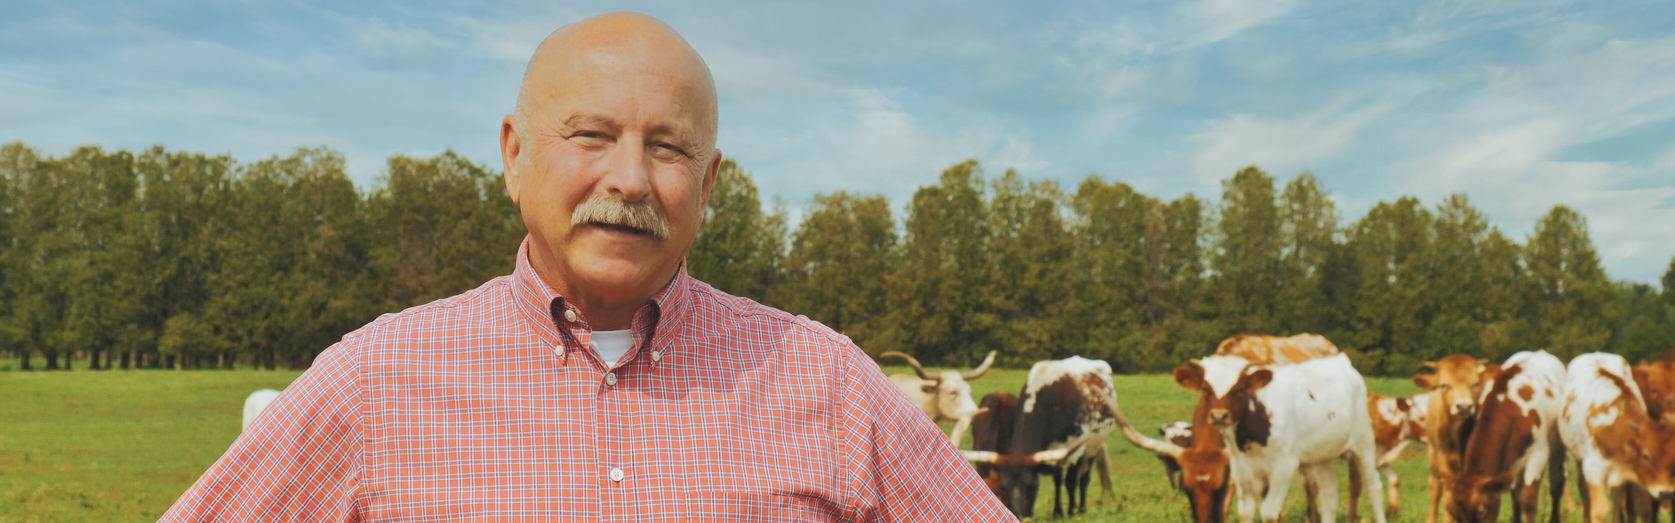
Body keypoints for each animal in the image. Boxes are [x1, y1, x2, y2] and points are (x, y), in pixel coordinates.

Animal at [1413, 355, 1507, 523]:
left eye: (1476, 384)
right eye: (1444, 384)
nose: (1464, 406)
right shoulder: (1443, 458)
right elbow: (1447, 495)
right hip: (1432, 453)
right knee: (1435, 487)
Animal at [1447, 348, 1561, 523]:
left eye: (1481, 512)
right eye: (1454, 515)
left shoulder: (1539, 454)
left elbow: (1528, 500)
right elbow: (1516, 497)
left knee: (1557, 486)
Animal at [1554, 348, 1675, 523]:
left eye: (1672, 459)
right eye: (1646, 456)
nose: (1666, 492)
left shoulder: (1637, 474)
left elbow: (1643, 509)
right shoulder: (1593, 470)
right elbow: (1600, 511)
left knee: (1618, 499)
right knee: (1583, 490)